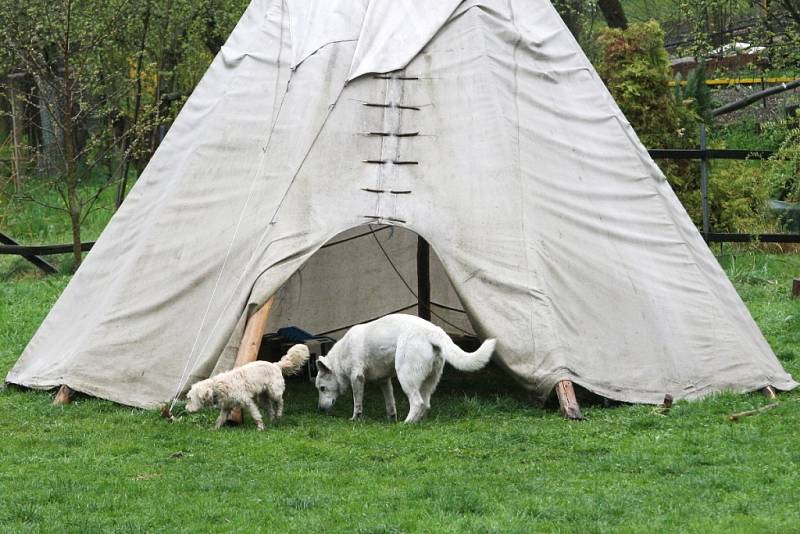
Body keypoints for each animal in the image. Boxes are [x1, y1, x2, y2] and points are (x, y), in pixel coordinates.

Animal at [314, 316, 494, 426]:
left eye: (322, 388)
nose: (320, 410)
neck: (340, 356)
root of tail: (434, 331)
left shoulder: (356, 377)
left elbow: (357, 403)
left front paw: (355, 418)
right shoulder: (384, 381)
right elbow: (390, 403)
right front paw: (391, 419)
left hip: (405, 377)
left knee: (417, 402)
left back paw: (406, 423)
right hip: (428, 382)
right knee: (426, 404)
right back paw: (417, 422)